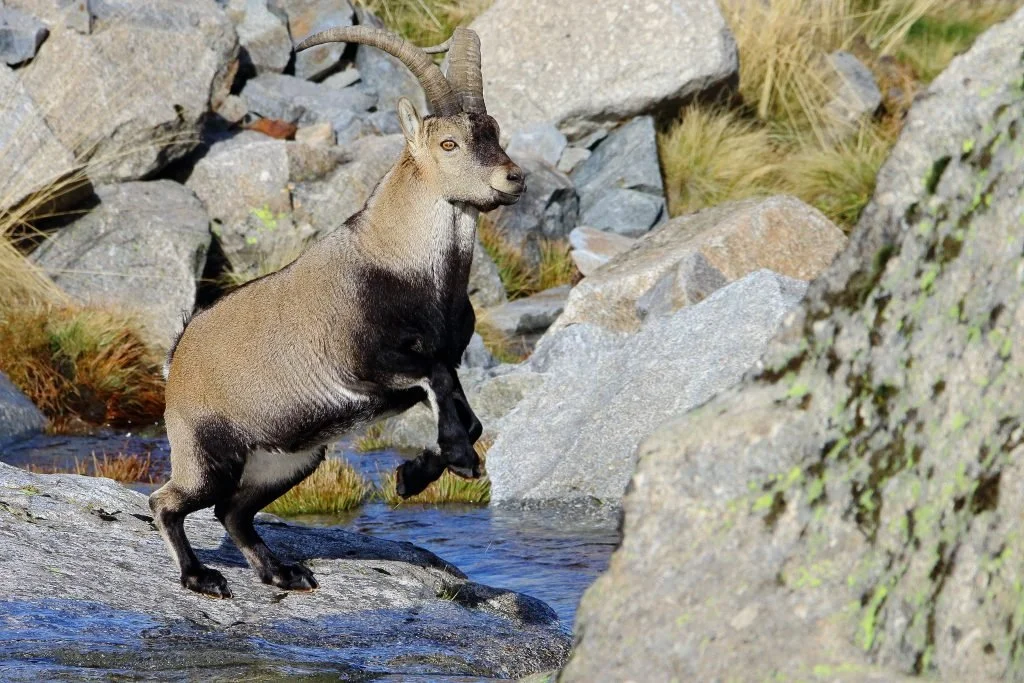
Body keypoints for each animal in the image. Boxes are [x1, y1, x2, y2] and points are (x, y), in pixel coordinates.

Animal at [149, 26, 525, 598]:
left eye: (496, 131)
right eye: (449, 144)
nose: (513, 178)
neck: (406, 267)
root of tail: (177, 360)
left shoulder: (441, 359)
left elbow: (471, 413)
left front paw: (414, 475)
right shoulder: (364, 365)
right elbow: (437, 380)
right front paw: (457, 461)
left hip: (290, 459)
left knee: (232, 511)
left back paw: (282, 572)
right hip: (208, 452)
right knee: (169, 501)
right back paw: (202, 577)